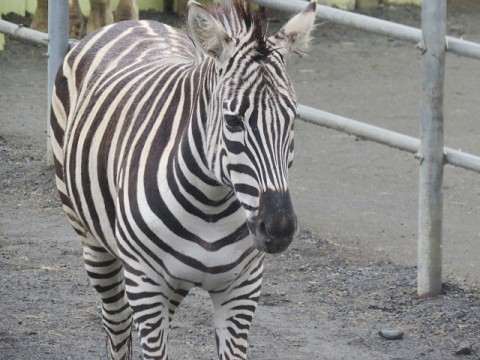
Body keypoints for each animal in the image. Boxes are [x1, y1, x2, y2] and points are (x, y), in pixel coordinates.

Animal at [50, 0, 316, 358]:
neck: (211, 205)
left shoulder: (242, 288)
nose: (279, 228)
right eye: (233, 121)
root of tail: (131, 22)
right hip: (94, 242)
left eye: (293, 118)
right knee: (117, 323)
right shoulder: (145, 283)